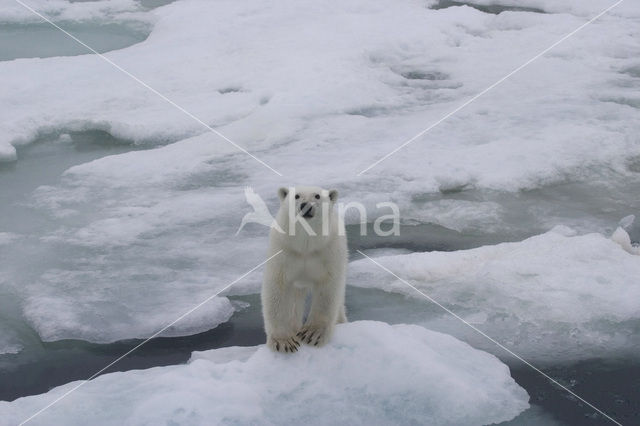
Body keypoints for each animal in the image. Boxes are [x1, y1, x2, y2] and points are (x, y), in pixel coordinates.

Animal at [262, 186, 348, 352]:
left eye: (317, 196)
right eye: (296, 196)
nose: (306, 206)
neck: (306, 246)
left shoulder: (329, 251)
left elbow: (328, 289)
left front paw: (312, 334)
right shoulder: (284, 250)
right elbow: (277, 288)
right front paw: (284, 341)